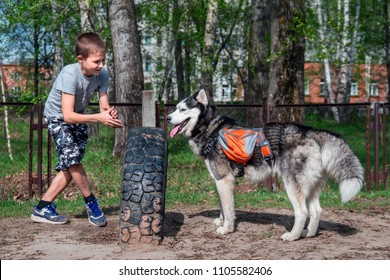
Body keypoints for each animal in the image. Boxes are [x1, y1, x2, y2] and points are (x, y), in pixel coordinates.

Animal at [166, 89, 364, 241]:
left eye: (183, 109)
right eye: (175, 108)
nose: (167, 118)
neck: (209, 128)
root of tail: (310, 131)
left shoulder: (224, 180)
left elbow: (228, 209)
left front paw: (226, 228)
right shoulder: (219, 181)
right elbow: (222, 206)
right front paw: (221, 221)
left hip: (292, 185)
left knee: (302, 212)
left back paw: (292, 236)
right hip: (311, 186)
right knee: (316, 211)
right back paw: (308, 233)